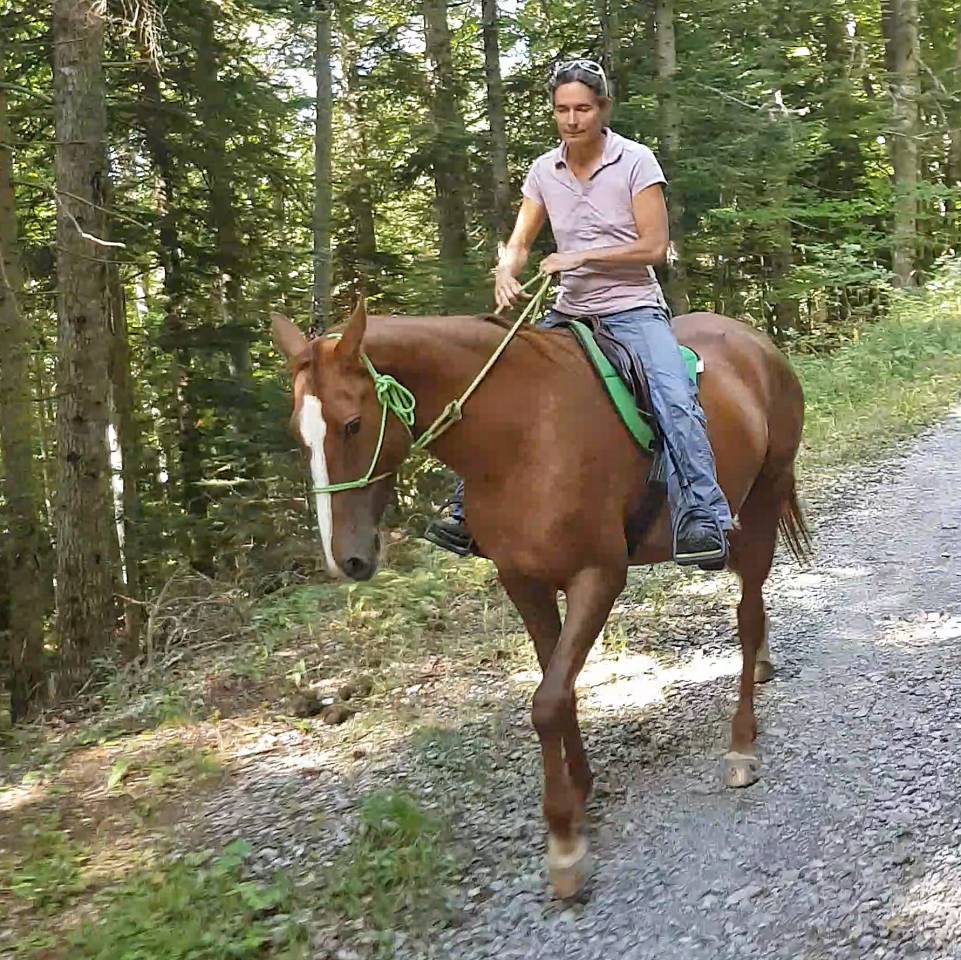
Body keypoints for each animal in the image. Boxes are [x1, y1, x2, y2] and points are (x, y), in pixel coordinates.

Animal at [271, 299, 810, 898]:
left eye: (352, 424)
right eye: (299, 433)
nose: (346, 561)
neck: (521, 436)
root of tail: (755, 341)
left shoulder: (598, 577)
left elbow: (547, 702)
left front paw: (564, 841)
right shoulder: (522, 581)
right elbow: (560, 685)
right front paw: (579, 792)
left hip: (764, 497)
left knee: (746, 611)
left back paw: (742, 744)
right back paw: (762, 665)